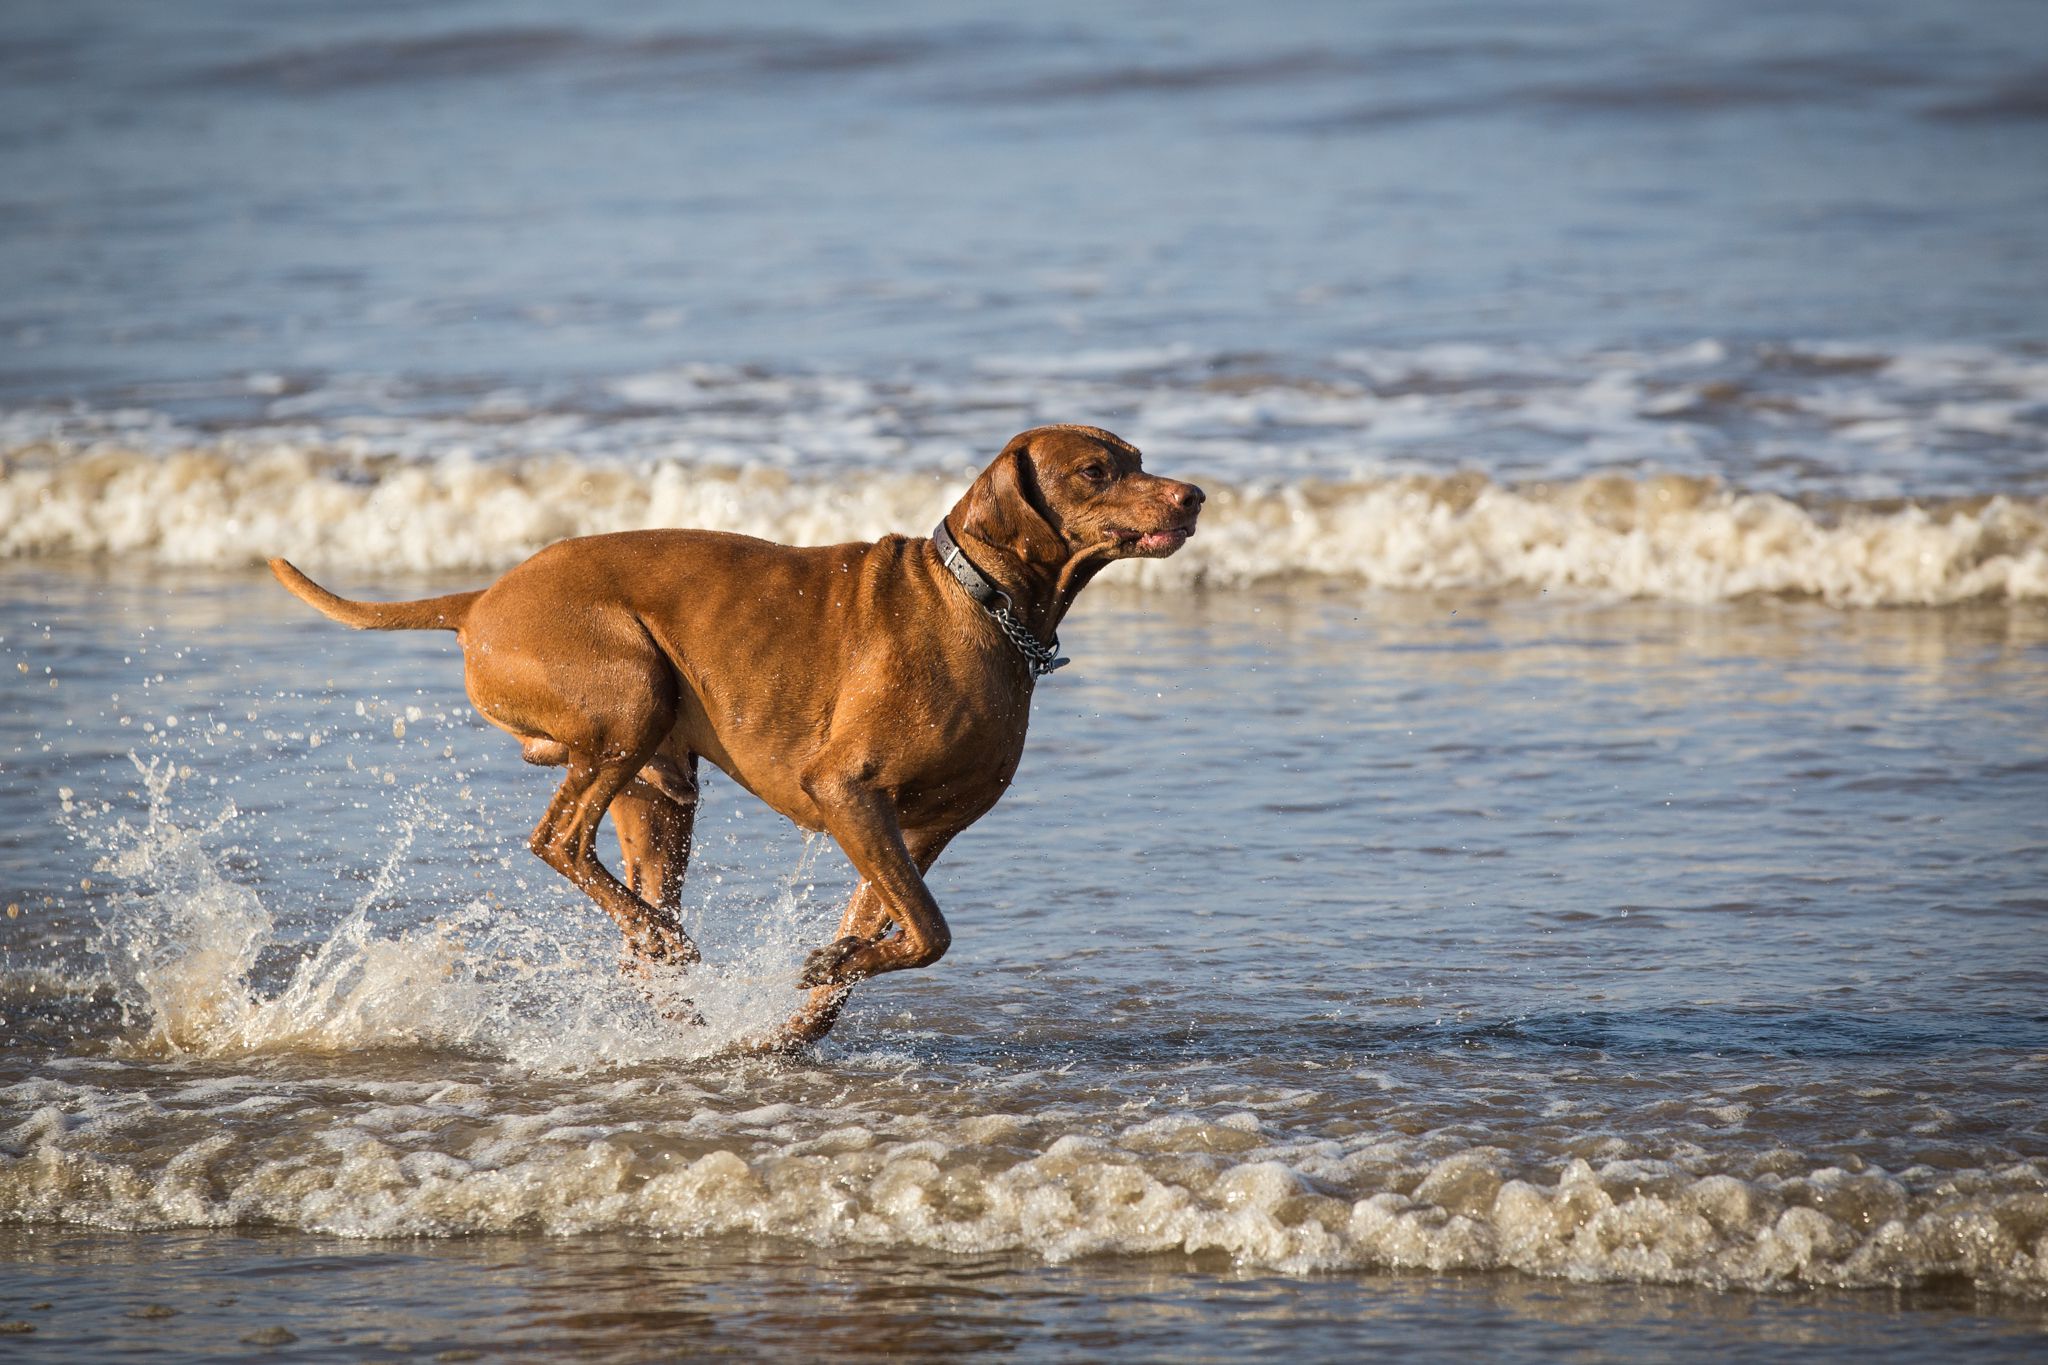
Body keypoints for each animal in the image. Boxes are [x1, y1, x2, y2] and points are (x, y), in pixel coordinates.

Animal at [268, 423, 1196, 1047]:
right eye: (1096, 470)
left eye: (1141, 457)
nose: (1196, 495)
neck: (981, 602)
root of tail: (481, 599)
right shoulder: (849, 791)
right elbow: (931, 933)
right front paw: (821, 973)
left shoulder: (917, 830)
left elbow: (886, 934)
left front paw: (800, 1014)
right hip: (632, 697)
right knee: (558, 840)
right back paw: (662, 938)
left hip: (659, 789)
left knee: (630, 921)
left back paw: (673, 989)